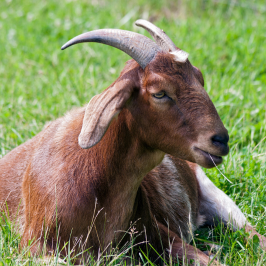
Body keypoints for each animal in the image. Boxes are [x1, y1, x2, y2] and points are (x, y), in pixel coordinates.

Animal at [0, 19, 264, 264]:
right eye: (159, 93)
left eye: (199, 77)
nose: (220, 140)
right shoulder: (36, 248)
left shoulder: (160, 234)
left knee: (253, 234)